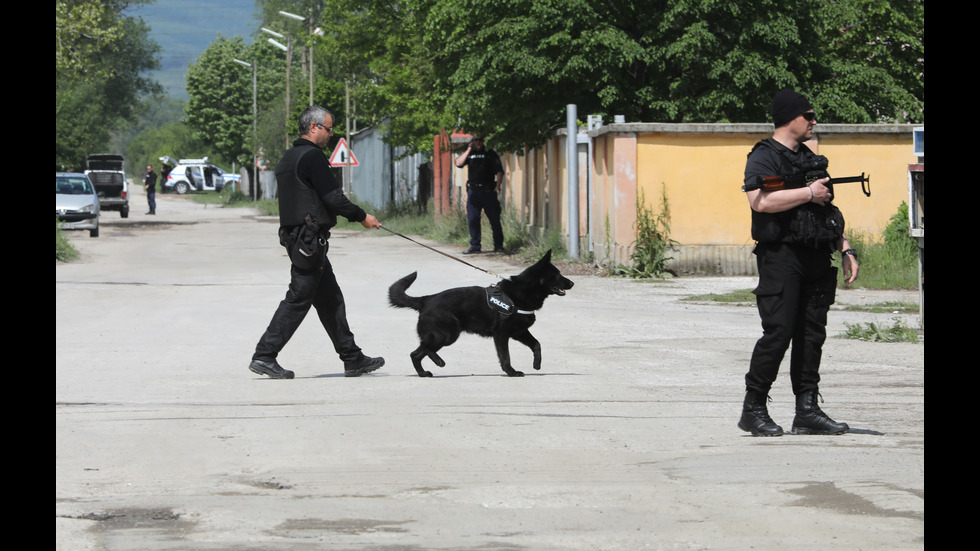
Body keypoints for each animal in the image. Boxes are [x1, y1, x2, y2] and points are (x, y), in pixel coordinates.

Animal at [388, 251, 576, 378]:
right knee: (423, 349)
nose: (572, 283)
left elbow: (537, 344)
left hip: (442, 335)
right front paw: (511, 372)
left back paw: (426, 371)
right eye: (557, 275)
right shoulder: (502, 335)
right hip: (447, 335)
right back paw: (436, 363)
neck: (521, 292)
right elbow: (505, 356)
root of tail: (426, 299)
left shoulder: (519, 332)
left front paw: (536, 364)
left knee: (417, 352)